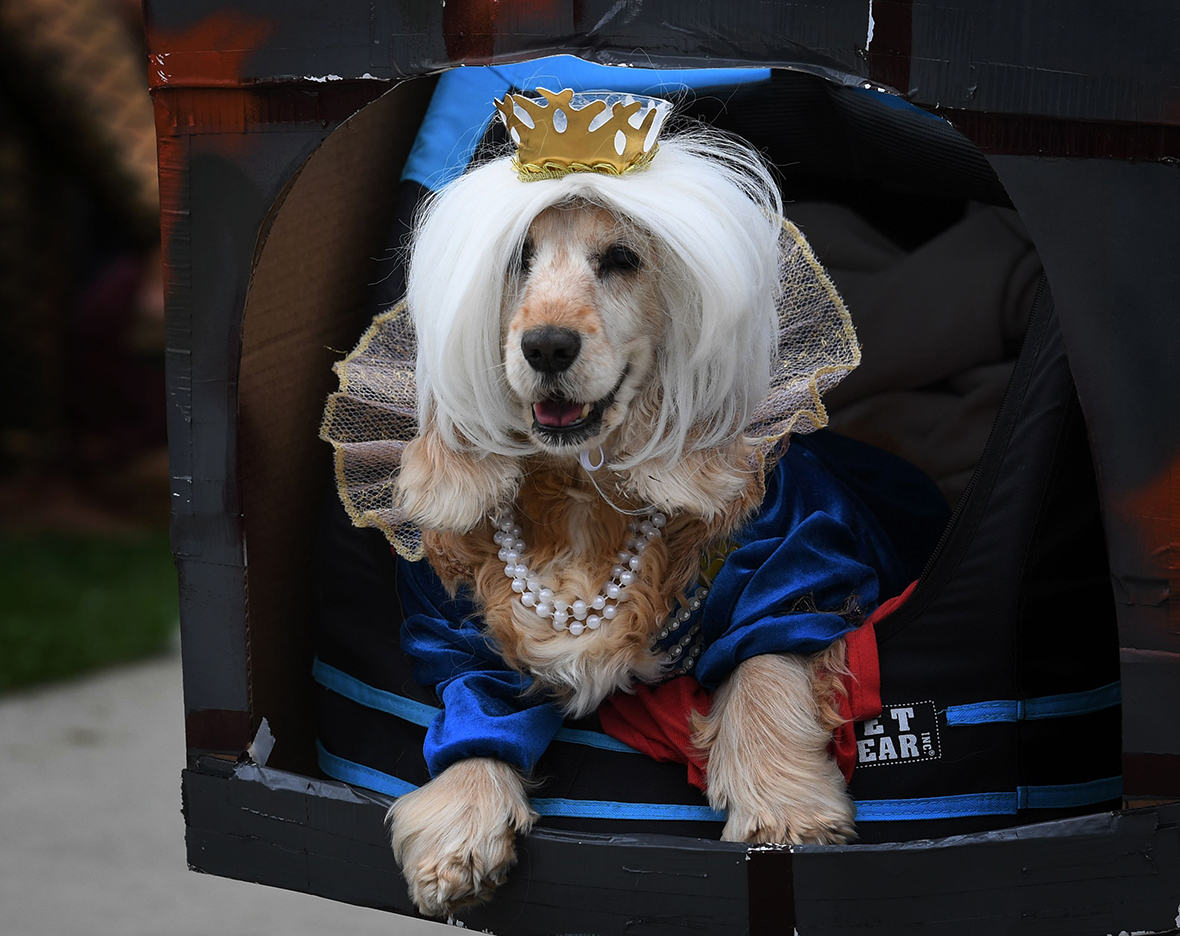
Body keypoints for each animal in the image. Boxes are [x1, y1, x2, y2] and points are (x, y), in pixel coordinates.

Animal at [368, 93, 859, 911]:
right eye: (517, 259)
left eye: (622, 260)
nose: (547, 346)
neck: (579, 489)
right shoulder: (455, 627)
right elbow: (473, 705)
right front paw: (460, 828)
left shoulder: (798, 550)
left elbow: (764, 660)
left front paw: (783, 806)